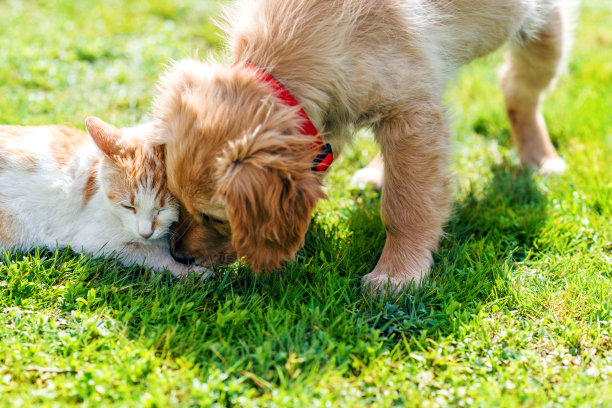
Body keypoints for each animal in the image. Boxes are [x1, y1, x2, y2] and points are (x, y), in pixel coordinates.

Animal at [0, 116, 213, 278]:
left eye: (162, 210)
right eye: (128, 207)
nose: (145, 233)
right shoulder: (94, 240)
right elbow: (149, 253)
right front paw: (190, 272)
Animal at [152, 0, 572, 294]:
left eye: (214, 217)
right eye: (177, 200)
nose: (179, 255)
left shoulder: (412, 111)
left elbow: (407, 204)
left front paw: (397, 273)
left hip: (543, 31)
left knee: (518, 91)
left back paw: (541, 159)